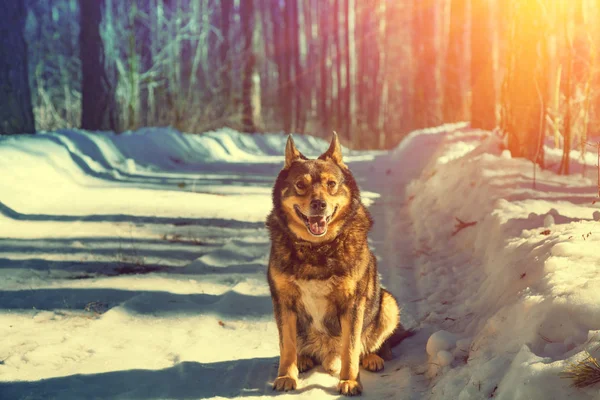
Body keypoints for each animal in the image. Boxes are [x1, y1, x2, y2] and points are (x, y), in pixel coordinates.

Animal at [264, 133, 400, 396]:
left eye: (331, 184)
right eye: (300, 184)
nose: (319, 204)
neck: (317, 249)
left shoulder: (353, 304)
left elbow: (351, 348)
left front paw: (350, 381)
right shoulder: (283, 301)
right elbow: (287, 346)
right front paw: (286, 375)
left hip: (388, 303)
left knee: (370, 345)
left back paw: (372, 358)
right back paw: (303, 359)